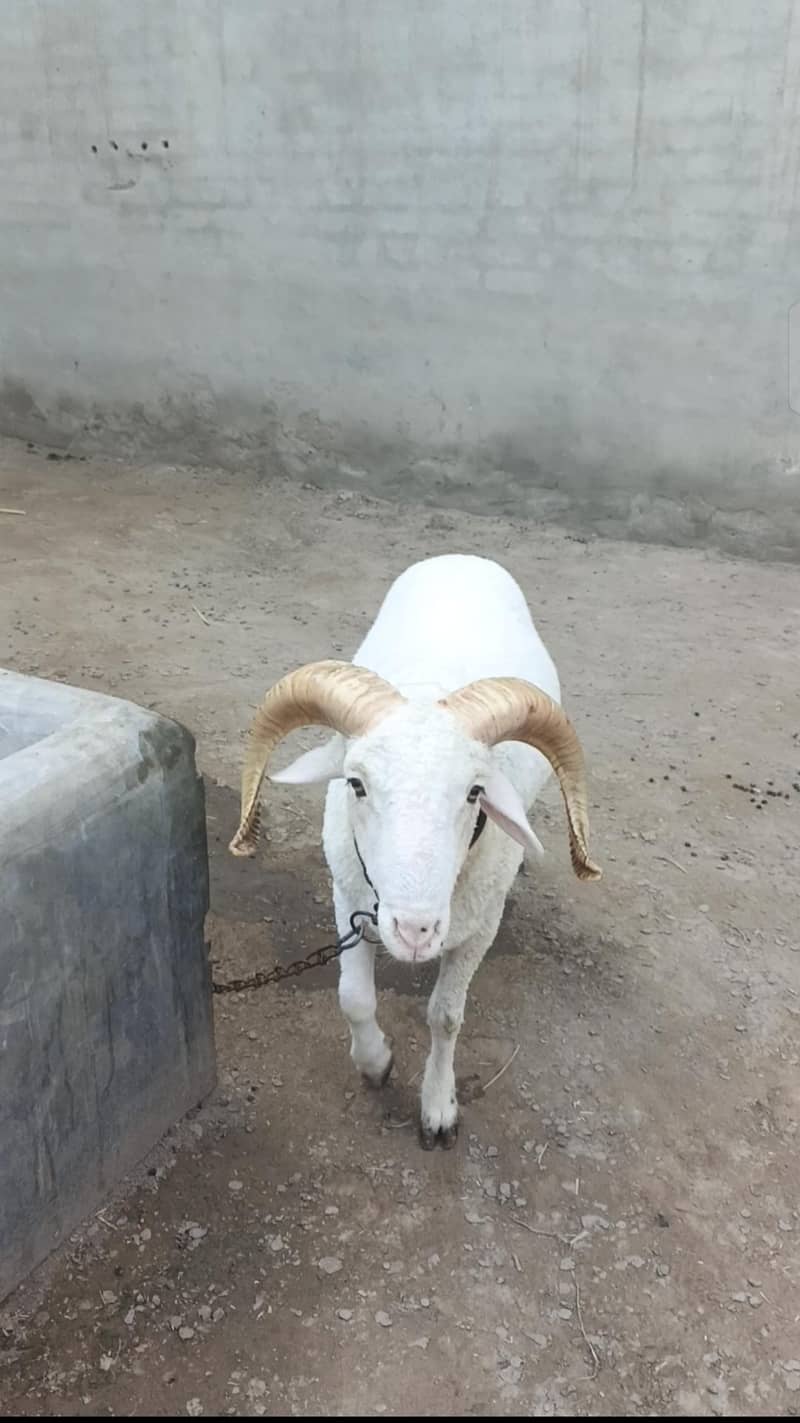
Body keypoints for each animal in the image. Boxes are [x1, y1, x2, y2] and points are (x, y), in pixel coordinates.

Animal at [230, 554, 601, 1148]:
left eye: (475, 791)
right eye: (355, 783)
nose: (415, 931)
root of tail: (463, 556)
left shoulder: (479, 929)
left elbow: (445, 1017)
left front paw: (438, 1107)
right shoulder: (348, 899)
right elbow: (353, 997)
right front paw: (375, 1063)